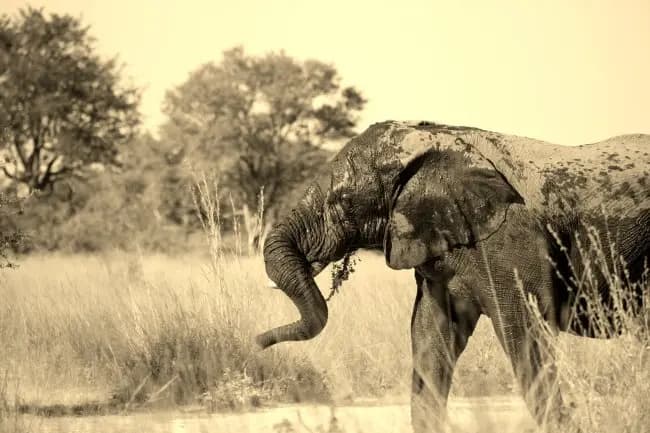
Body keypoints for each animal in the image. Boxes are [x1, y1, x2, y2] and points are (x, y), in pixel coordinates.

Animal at [256, 120, 650, 432]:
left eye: (342, 204)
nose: (258, 342)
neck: (433, 138)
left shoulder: (508, 241)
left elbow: (526, 338)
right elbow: (430, 338)